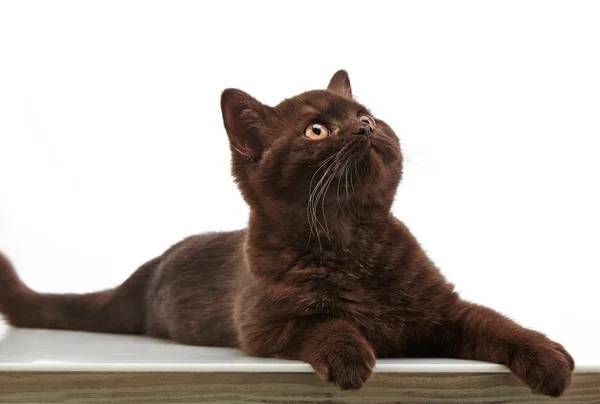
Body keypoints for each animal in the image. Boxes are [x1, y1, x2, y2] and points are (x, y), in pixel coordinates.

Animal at [0, 70, 576, 398]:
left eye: (367, 116)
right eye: (317, 130)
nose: (364, 128)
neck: (354, 239)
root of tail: (139, 276)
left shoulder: (442, 311)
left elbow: (499, 324)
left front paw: (551, 359)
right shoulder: (263, 327)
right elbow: (322, 321)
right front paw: (351, 356)